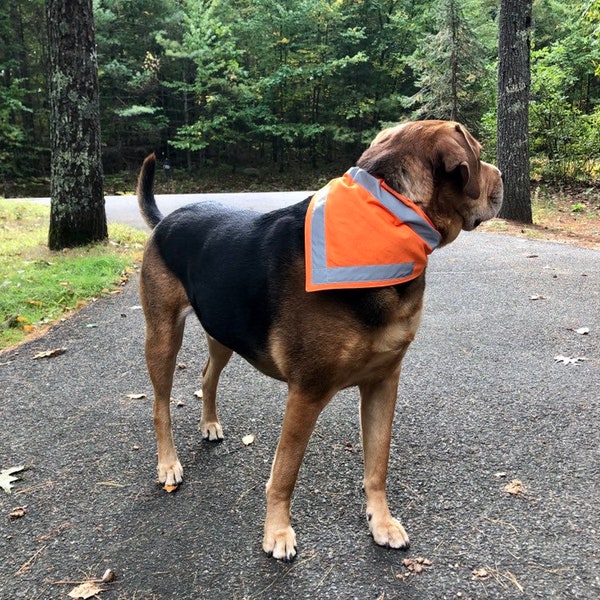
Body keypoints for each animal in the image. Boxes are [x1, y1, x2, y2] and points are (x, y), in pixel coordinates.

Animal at [137, 118, 502, 564]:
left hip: (223, 330)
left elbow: (377, 464)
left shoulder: (383, 382)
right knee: (160, 406)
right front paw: (277, 532)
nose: (502, 177)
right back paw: (168, 464)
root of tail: (167, 219)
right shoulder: (306, 392)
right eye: (478, 154)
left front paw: (381, 522)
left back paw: (209, 424)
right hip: (163, 335)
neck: (388, 219)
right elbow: (284, 472)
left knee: (207, 376)